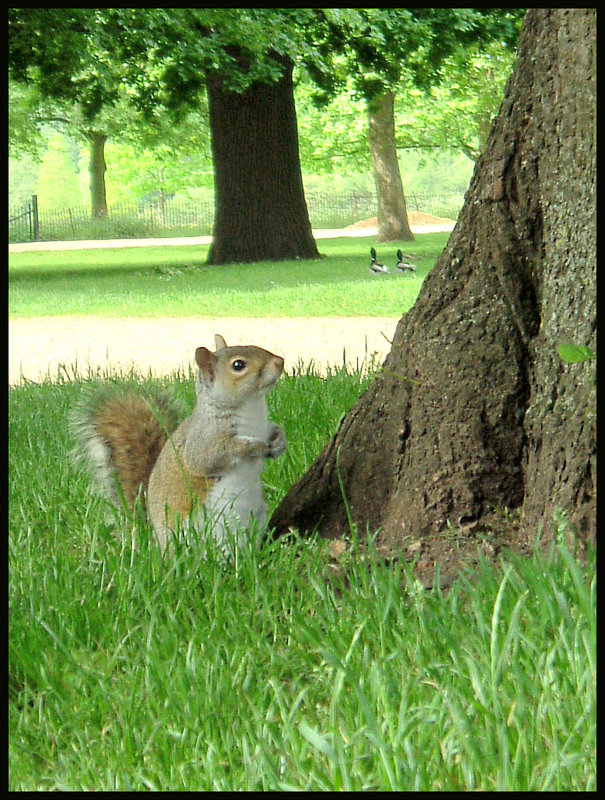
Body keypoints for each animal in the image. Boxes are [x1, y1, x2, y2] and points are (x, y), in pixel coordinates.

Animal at [69, 334, 286, 552]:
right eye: (238, 365)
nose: (280, 362)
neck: (251, 406)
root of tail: (155, 540)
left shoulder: (262, 425)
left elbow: (272, 431)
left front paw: (278, 443)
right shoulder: (204, 437)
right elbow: (207, 458)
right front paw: (256, 446)